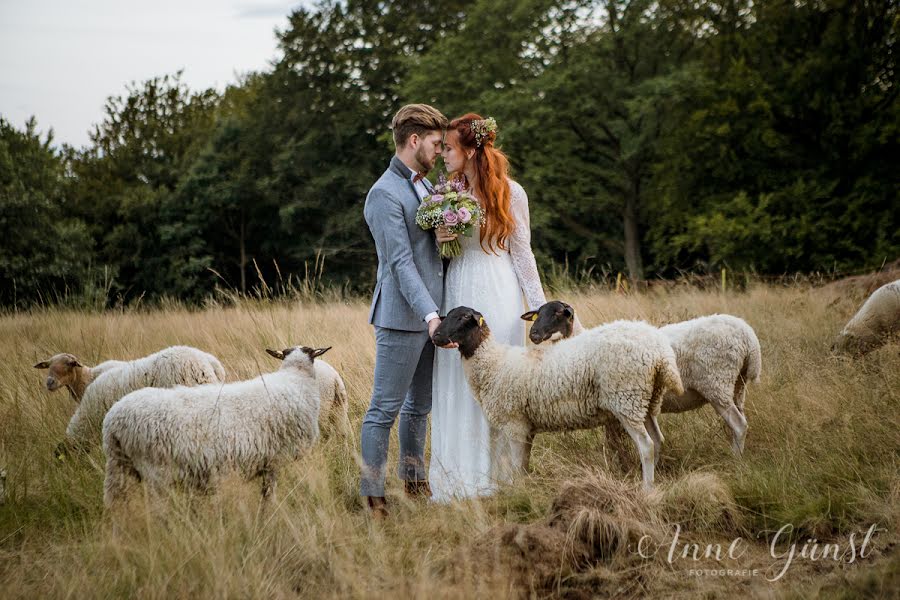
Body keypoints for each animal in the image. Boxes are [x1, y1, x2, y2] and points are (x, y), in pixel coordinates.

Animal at [102, 346, 326, 506]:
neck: (295, 378)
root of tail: (113, 420)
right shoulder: (273, 460)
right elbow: (268, 495)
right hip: (155, 472)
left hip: (118, 467)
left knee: (115, 503)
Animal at [432, 308, 684, 490]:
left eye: (464, 317)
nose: (435, 336)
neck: (493, 362)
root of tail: (660, 351)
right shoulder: (527, 427)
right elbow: (523, 465)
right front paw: (525, 488)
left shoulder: (514, 424)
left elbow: (515, 465)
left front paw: (516, 491)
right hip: (647, 400)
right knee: (657, 440)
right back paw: (654, 477)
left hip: (626, 398)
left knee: (646, 445)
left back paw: (647, 488)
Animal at [524, 302, 764, 458]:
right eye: (538, 314)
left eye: (558, 313)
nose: (533, 334)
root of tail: (749, 338)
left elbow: (614, 444)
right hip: (737, 386)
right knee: (738, 422)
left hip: (717, 383)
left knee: (739, 425)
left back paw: (735, 460)